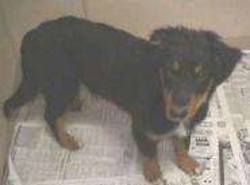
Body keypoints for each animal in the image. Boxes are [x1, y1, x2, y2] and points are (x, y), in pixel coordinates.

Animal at [3, 16, 242, 182]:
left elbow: (182, 144)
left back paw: (76, 104)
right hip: (62, 83)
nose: (177, 112)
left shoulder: (186, 125)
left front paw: (189, 163)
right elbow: (150, 154)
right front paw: (154, 175)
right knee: (50, 114)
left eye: (201, 74)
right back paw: (67, 140)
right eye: (170, 71)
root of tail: (32, 33)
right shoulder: (141, 129)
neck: (160, 91)